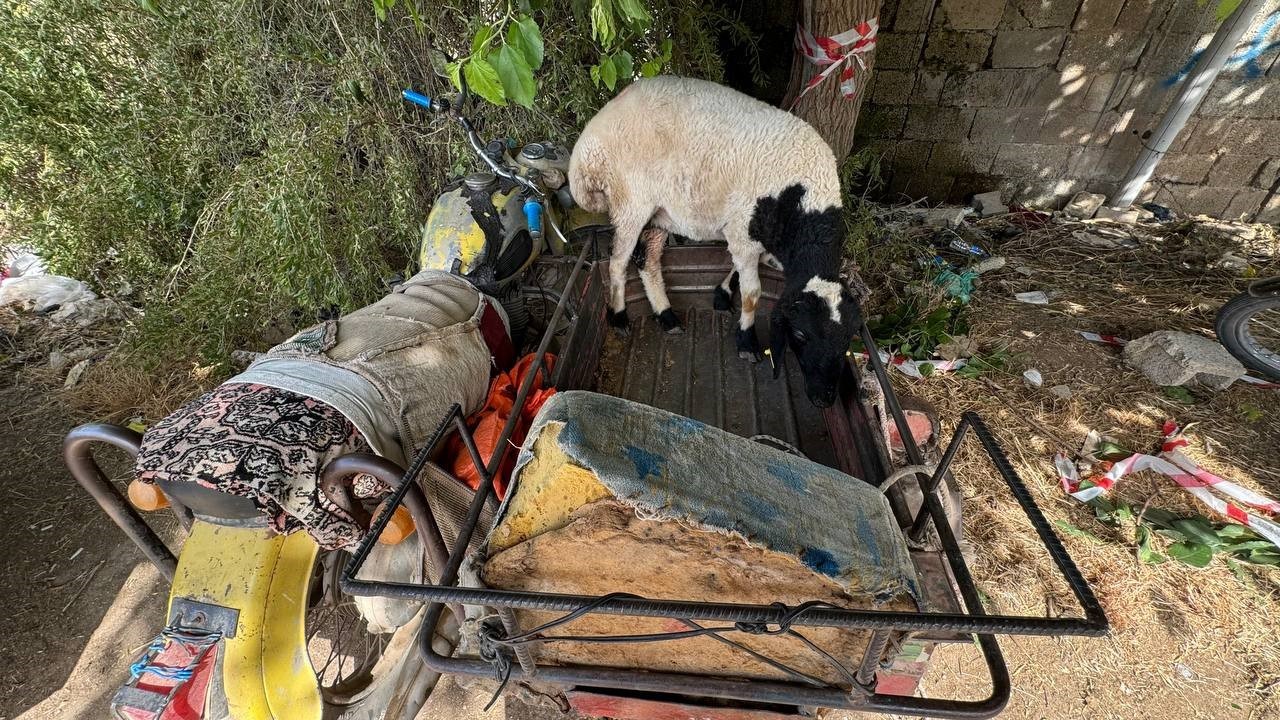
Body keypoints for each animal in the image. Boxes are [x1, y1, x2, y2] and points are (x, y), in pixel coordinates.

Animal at [573, 77, 860, 409]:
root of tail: (588, 143)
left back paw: (666, 315)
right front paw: (746, 340)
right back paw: (619, 318)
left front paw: (722, 294)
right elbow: (752, 293)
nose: (823, 399)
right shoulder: (743, 231)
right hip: (631, 200)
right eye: (800, 335)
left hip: (659, 211)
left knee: (647, 261)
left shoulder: (748, 234)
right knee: (618, 262)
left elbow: (741, 266)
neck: (804, 203)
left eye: (848, 340)